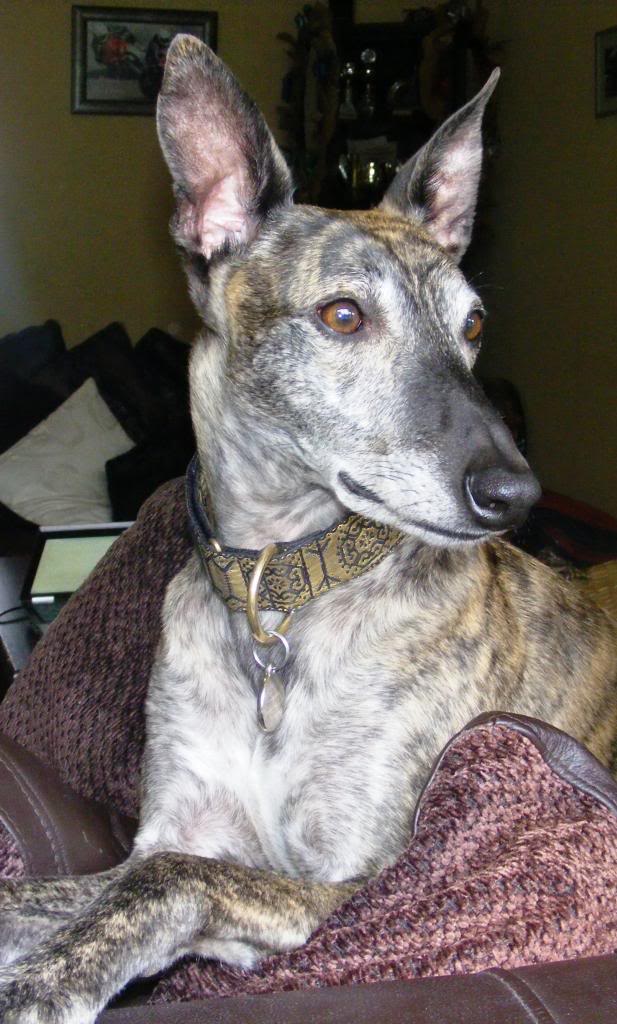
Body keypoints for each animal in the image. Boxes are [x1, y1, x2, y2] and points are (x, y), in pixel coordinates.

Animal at [1, 35, 616, 1023]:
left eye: (474, 324)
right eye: (341, 315)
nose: (513, 494)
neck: (280, 584)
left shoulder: (351, 883)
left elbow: (173, 879)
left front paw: (43, 980)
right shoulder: (175, 823)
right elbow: (85, 884)